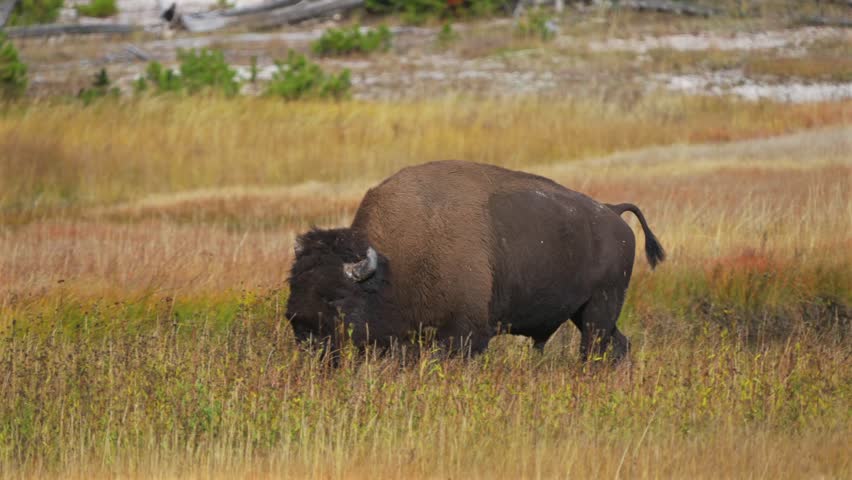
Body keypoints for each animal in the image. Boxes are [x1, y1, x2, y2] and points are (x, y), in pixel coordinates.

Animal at [286, 160, 664, 362]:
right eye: (293, 288)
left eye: (337, 298)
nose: (300, 327)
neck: (392, 266)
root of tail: (612, 212)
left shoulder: (465, 335)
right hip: (585, 313)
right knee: (619, 344)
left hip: (602, 306)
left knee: (595, 349)